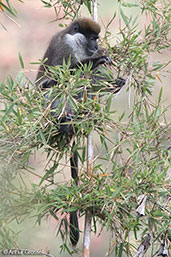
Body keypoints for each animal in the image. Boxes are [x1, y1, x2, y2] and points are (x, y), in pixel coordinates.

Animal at [36, 17, 125, 245]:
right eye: (92, 38)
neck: (77, 43)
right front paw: (98, 59)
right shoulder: (65, 46)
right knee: (57, 86)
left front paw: (113, 81)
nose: (96, 45)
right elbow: (62, 75)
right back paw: (65, 122)